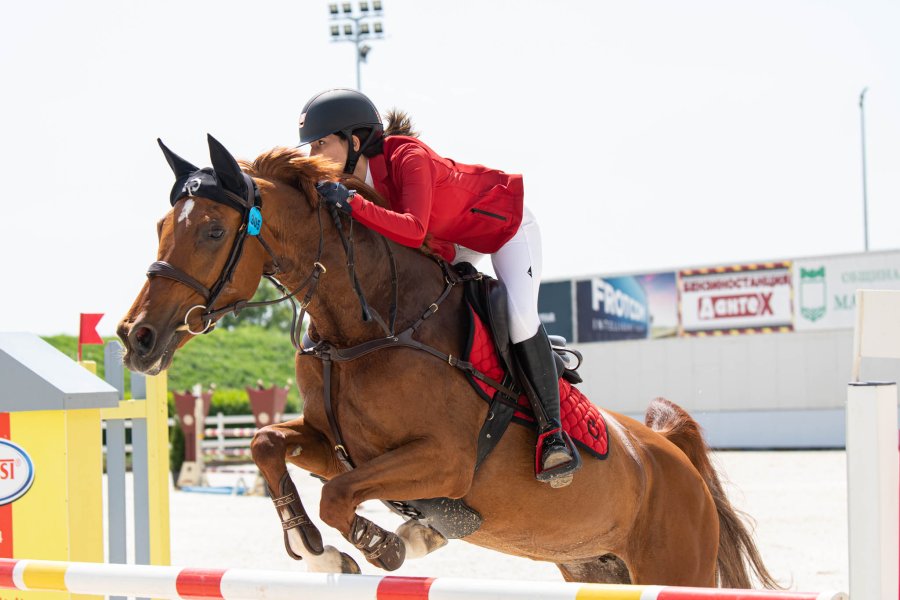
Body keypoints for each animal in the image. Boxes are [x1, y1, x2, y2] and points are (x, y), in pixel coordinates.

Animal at [119, 135, 776, 584]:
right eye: (161, 225)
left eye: (211, 231)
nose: (136, 338)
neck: (365, 327)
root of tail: (670, 454)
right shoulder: (339, 449)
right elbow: (266, 444)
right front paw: (317, 548)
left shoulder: (444, 461)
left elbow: (339, 498)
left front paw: (390, 545)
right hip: (594, 566)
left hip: (675, 568)